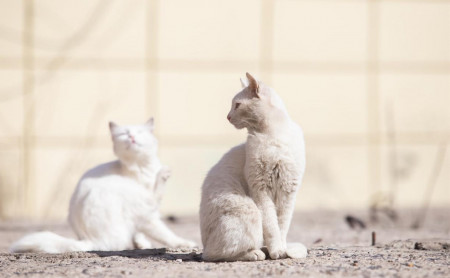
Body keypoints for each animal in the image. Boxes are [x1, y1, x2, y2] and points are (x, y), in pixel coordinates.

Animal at [10, 118, 195, 253]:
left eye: (140, 132)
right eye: (124, 133)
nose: (132, 137)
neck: (140, 167)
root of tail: (91, 240)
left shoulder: (143, 216)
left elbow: (139, 233)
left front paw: (141, 244)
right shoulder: (147, 213)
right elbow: (165, 234)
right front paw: (183, 243)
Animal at [200, 73, 306, 260]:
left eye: (237, 105)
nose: (227, 116)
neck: (273, 136)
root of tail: (204, 243)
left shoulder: (288, 191)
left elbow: (282, 226)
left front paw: (282, 249)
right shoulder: (260, 189)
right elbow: (271, 227)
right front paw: (277, 251)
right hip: (249, 210)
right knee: (215, 254)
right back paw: (256, 253)